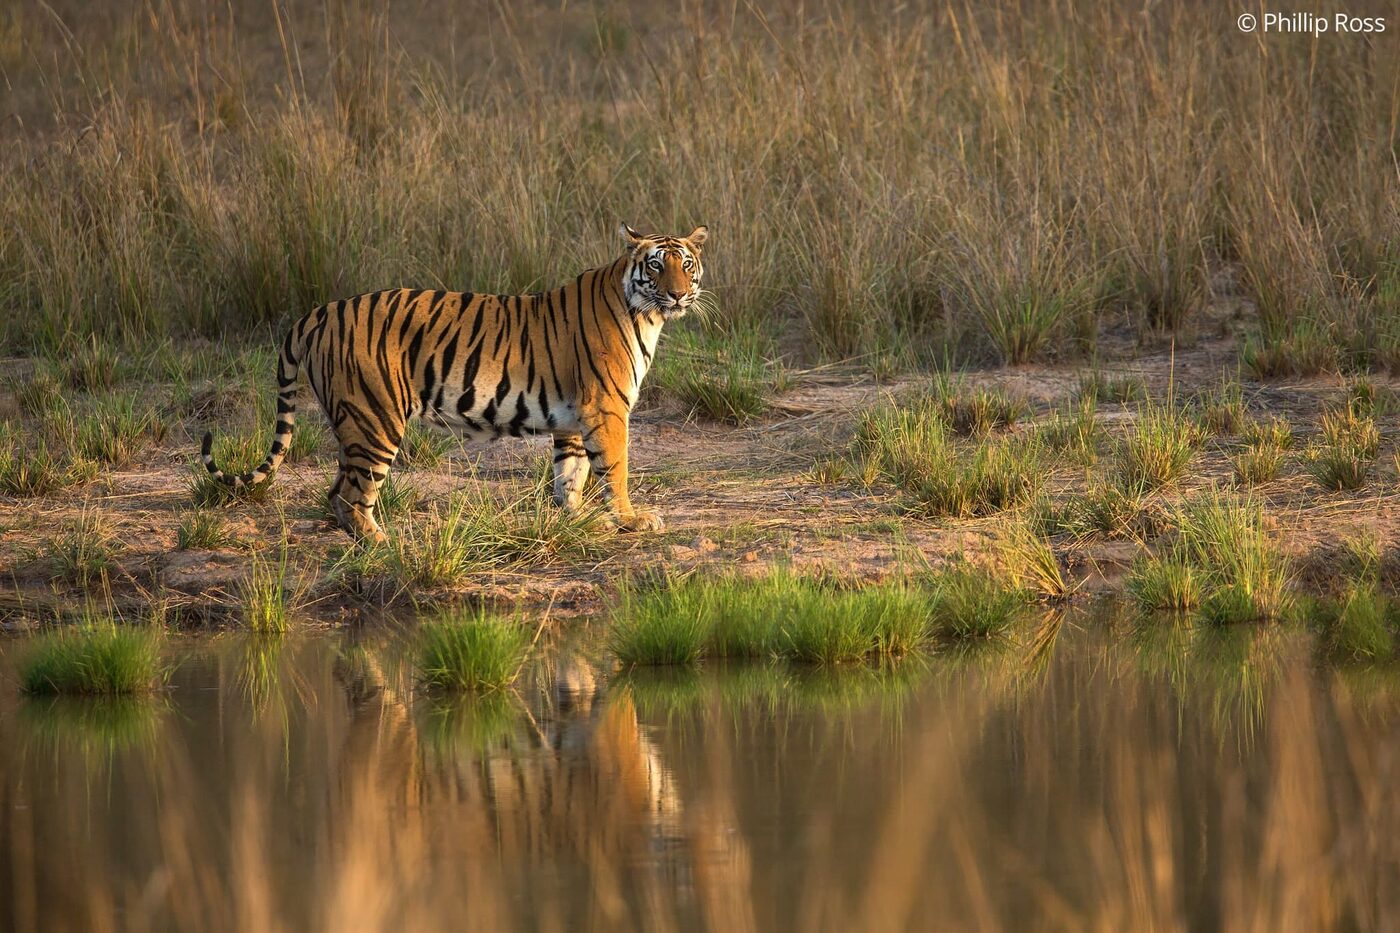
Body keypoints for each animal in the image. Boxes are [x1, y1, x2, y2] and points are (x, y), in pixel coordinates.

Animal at [200, 223, 708, 542]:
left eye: (686, 264)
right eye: (657, 266)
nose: (679, 294)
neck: (648, 316)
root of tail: (320, 310)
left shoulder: (573, 417)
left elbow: (572, 473)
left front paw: (581, 520)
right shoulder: (606, 409)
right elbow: (614, 469)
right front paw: (630, 519)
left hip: (353, 420)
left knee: (337, 492)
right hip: (376, 419)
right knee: (352, 495)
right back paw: (383, 544)